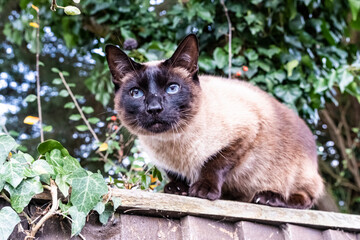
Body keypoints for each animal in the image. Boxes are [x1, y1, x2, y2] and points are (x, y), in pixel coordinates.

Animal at [105, 34, 324, 209]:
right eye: (136, 93)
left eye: (172, 88)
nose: (154, 109)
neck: (172, 143)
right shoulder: (165, 164)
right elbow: (175, 175)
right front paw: (177, 189)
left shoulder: (245, 133)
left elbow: (214, 163)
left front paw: (202, 190)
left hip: (295, 174)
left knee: (306, 197)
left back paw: (268, 197)